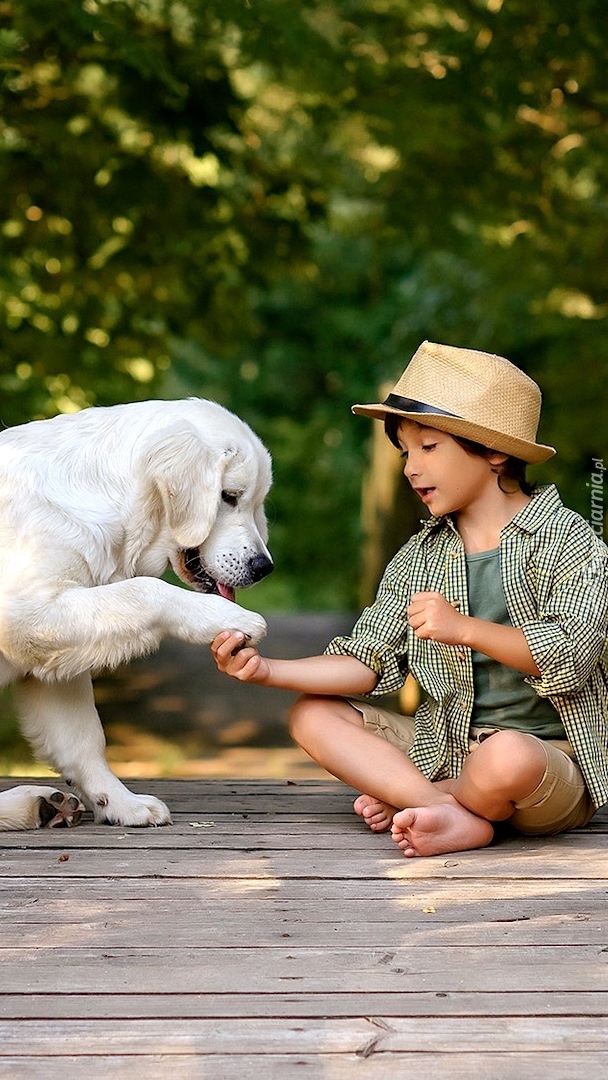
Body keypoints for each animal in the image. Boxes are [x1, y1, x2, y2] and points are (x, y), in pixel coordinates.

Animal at [0, 397, 271, 825]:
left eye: (257, 502)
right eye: (228, 496)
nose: (264, 567)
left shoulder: (54, 656)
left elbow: (83, 740)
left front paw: (121, 804)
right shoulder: (29, 614)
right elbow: (145, 590)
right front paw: (227, 618)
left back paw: (37, 806)